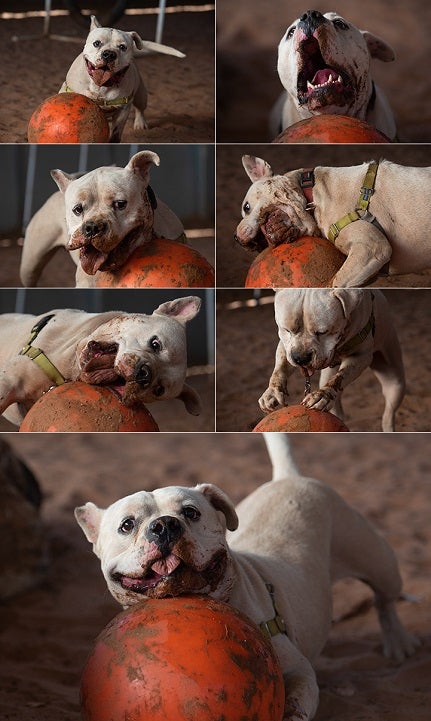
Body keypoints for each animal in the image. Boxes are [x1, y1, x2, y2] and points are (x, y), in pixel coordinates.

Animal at [76, 434, 420, 720]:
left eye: (191, 512)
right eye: (127, 525)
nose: (164, 525)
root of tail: (289, 477)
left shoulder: (299, 672)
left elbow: (295, 701)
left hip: (376, 558)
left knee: (385, 598)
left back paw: (398, 642)